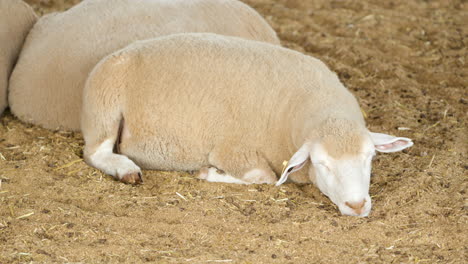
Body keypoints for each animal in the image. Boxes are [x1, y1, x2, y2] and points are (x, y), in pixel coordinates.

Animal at [80, 33, 414, 217]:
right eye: (322, 164)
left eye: (370, 157)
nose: (357, 206)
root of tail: (118, 53)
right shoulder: (232, 150)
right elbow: (264, 177)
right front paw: (209, 173)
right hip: (104, 104)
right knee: (95, 152)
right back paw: (126, 169)